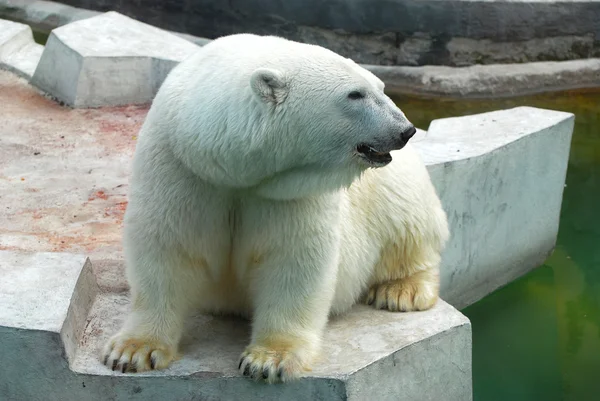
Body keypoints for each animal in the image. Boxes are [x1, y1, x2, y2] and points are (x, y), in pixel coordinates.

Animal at [103, 33, 448, 382]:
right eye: (355, 94)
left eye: (381, 86)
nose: (405, 130)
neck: (228, 165)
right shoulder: (180, 167)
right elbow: (166, 247)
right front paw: (132, 351)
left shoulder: (288, 194)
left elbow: (293, 259)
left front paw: (268, 360)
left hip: (392, 186)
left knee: (407, 217)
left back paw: (400, 291)